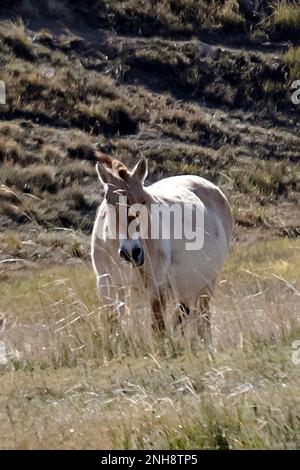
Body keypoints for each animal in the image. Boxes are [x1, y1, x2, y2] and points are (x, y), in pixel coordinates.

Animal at [91, 155, 234, 348]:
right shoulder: (106, 285)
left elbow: (158, 328)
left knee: (202, 320)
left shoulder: (156, 287)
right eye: (111, 203)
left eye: (143, 201)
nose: (131, 252)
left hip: (206, 284)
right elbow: (113, 324)